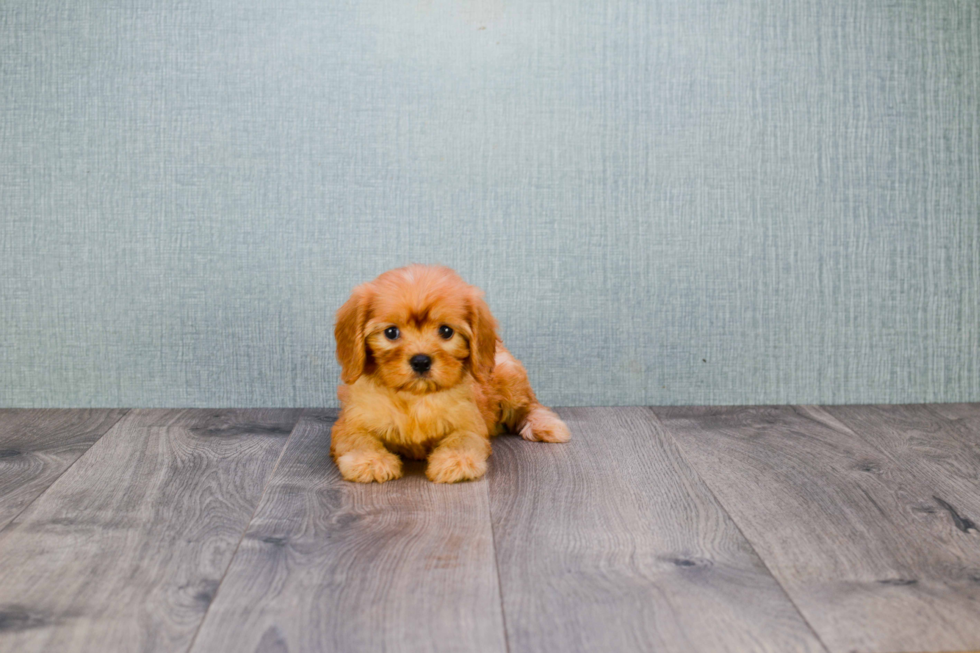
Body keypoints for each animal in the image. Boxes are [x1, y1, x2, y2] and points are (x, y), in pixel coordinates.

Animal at [332, 262, 572, 482]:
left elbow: (463, 439)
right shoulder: (350, 422)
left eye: (446, 331)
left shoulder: (469, 421)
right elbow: (357, 439)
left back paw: (546, 425)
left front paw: (456, 461)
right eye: (391, 332)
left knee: (530, 406)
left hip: (510, 379)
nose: (421, 361)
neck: (415, 398)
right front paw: (370, 461)